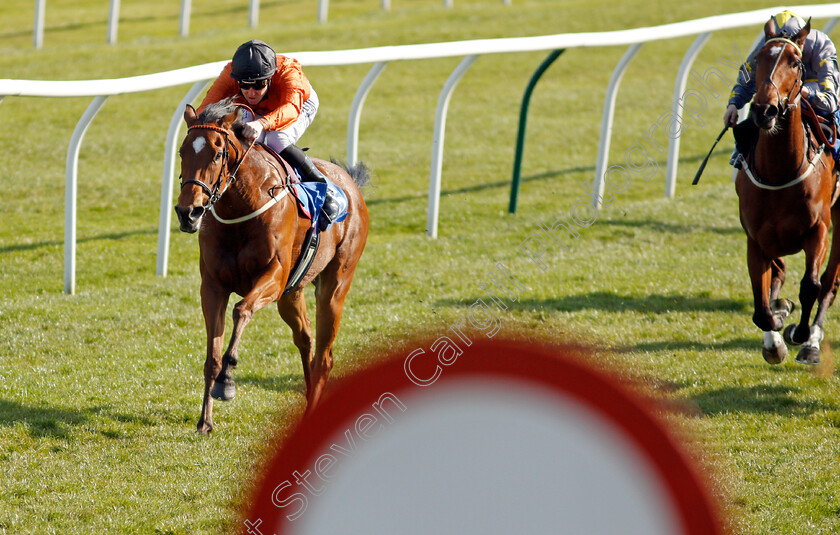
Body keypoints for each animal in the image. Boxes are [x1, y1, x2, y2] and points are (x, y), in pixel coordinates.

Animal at [174, 101, 368, 436]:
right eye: (182, 151)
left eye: (217, 153)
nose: (189, 212)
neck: (242, 205)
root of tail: (350, 183)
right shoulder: (212, 286)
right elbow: (212, 356)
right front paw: (205, 421)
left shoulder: (273, 278)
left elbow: (241, 310)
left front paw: (226, 383)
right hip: (292, 294)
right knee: (306, 340)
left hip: (335, 284)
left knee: (324, 356)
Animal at [736, 17, 840, 368]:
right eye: (757, 60)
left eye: (795, 62)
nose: (764, 110)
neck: (780, 171)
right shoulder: (756, 239)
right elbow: (761, 304)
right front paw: (775, 338)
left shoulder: (818, 229)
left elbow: (811, 285)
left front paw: (799, 333)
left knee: (829, 282)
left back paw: (812, 341)